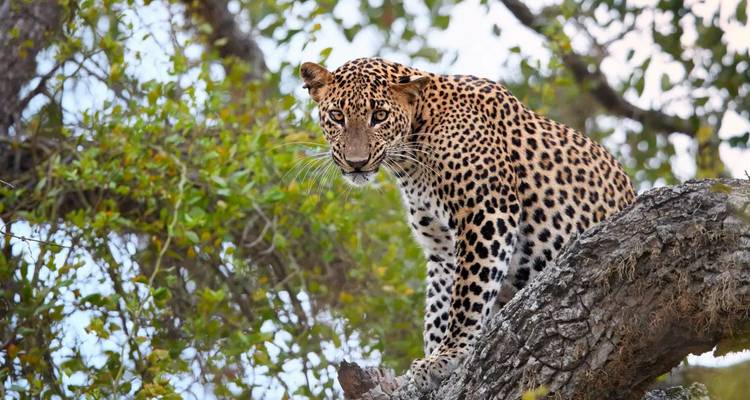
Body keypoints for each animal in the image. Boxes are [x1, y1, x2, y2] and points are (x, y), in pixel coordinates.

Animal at [300, 57, 636, 392]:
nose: (356, 162)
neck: (411, 157)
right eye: (337, 116)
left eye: (379, 116)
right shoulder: (442, 248)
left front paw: (448, 355)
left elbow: (469, 295)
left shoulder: (487, 211)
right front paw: (431, 361)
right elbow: (439, 308)